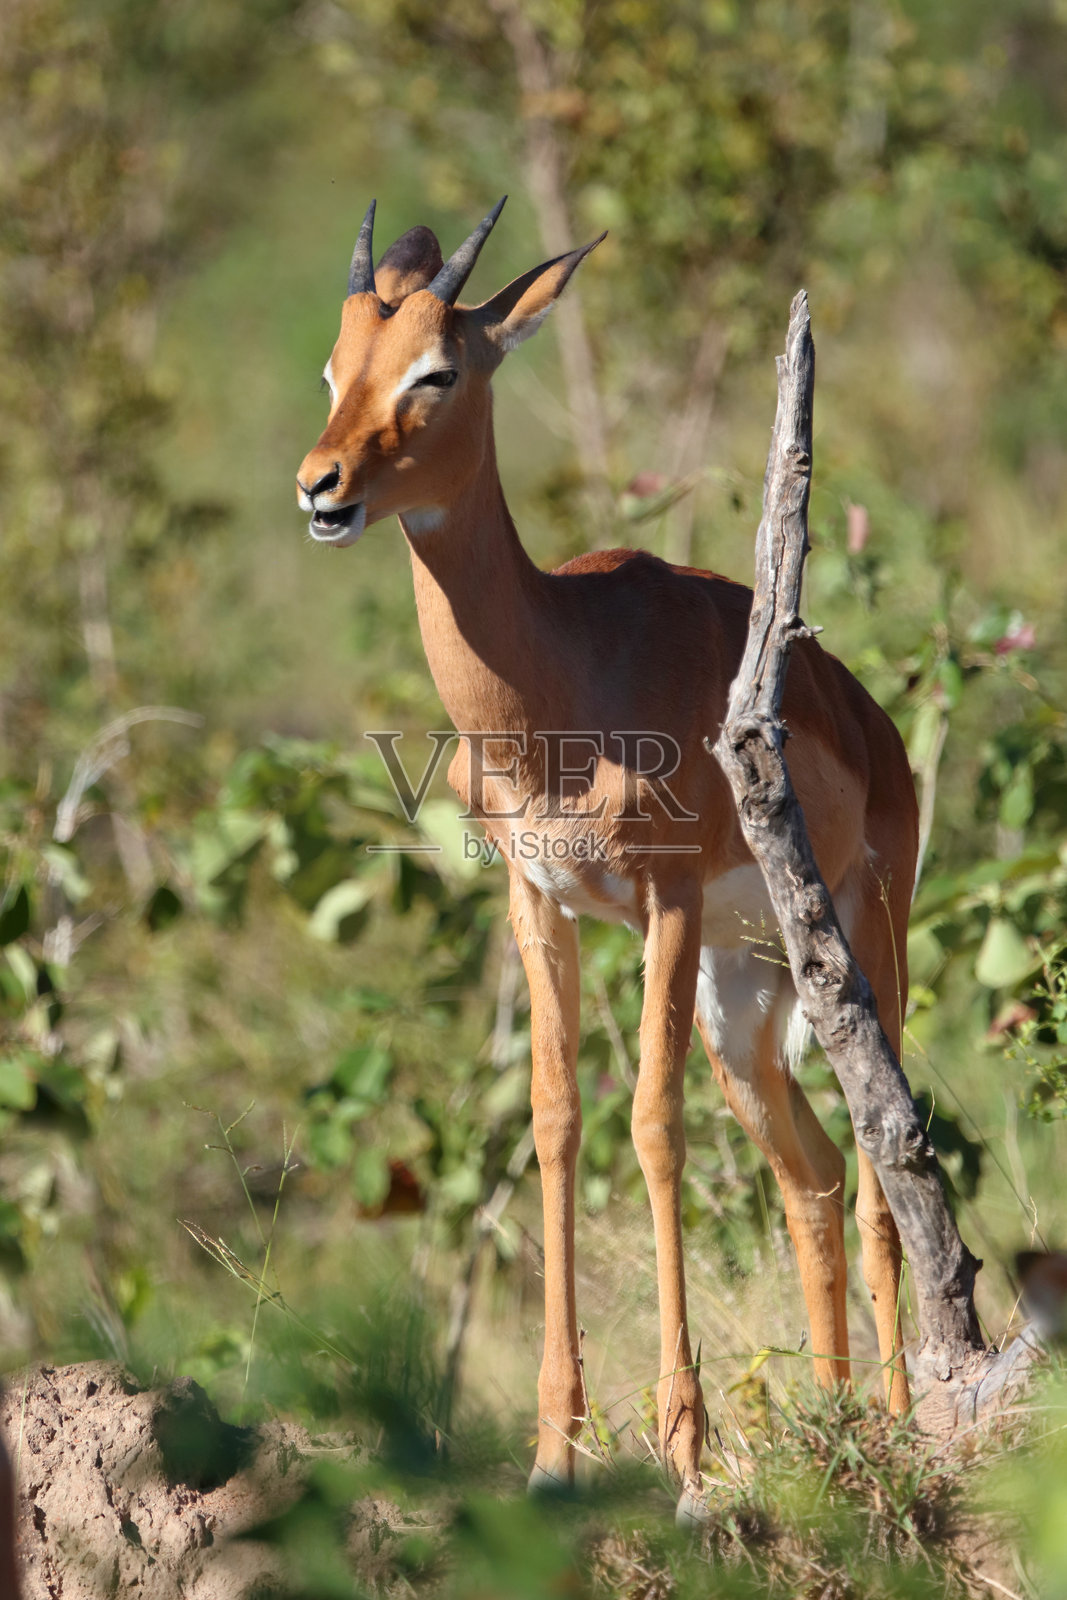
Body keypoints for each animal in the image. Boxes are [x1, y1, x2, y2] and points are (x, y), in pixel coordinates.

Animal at [296, 199, 917, 1517]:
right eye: (335, 367)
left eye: (437, 369)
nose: (321, 487)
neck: (558, 680)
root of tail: (870, 721)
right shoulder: (539, 903)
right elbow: (555, 1122)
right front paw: (552, 1454)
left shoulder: (662, 898)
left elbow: (649, 1125)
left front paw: (680, 1457)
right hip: (745, 1000)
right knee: (814, 1176)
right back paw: (836, 1421)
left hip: (860, 947)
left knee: (886, 1153)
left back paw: (900, 1421)